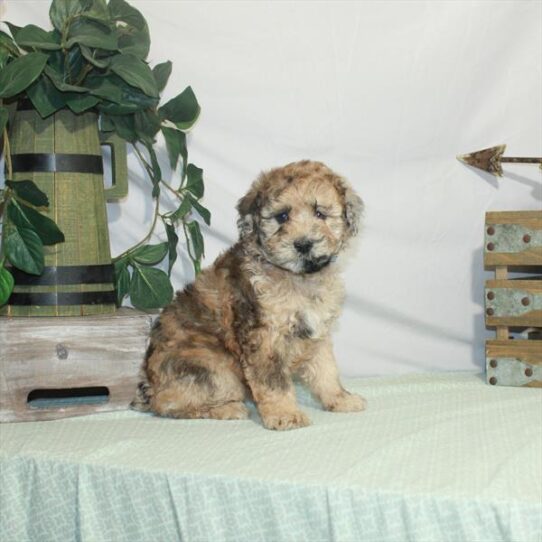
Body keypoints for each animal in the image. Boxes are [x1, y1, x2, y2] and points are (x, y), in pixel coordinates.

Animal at [133, 159, 370, 432]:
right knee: (169, 403)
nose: (303, 244)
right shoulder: (264, 338)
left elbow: (327, 370)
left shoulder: (317, 334)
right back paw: (228, 409)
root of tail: (150, 386)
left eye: (320, 213)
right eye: (282, 216)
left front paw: (341, 399)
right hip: (215, 368)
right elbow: (274, 382)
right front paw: (285, 415)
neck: (298, 277)